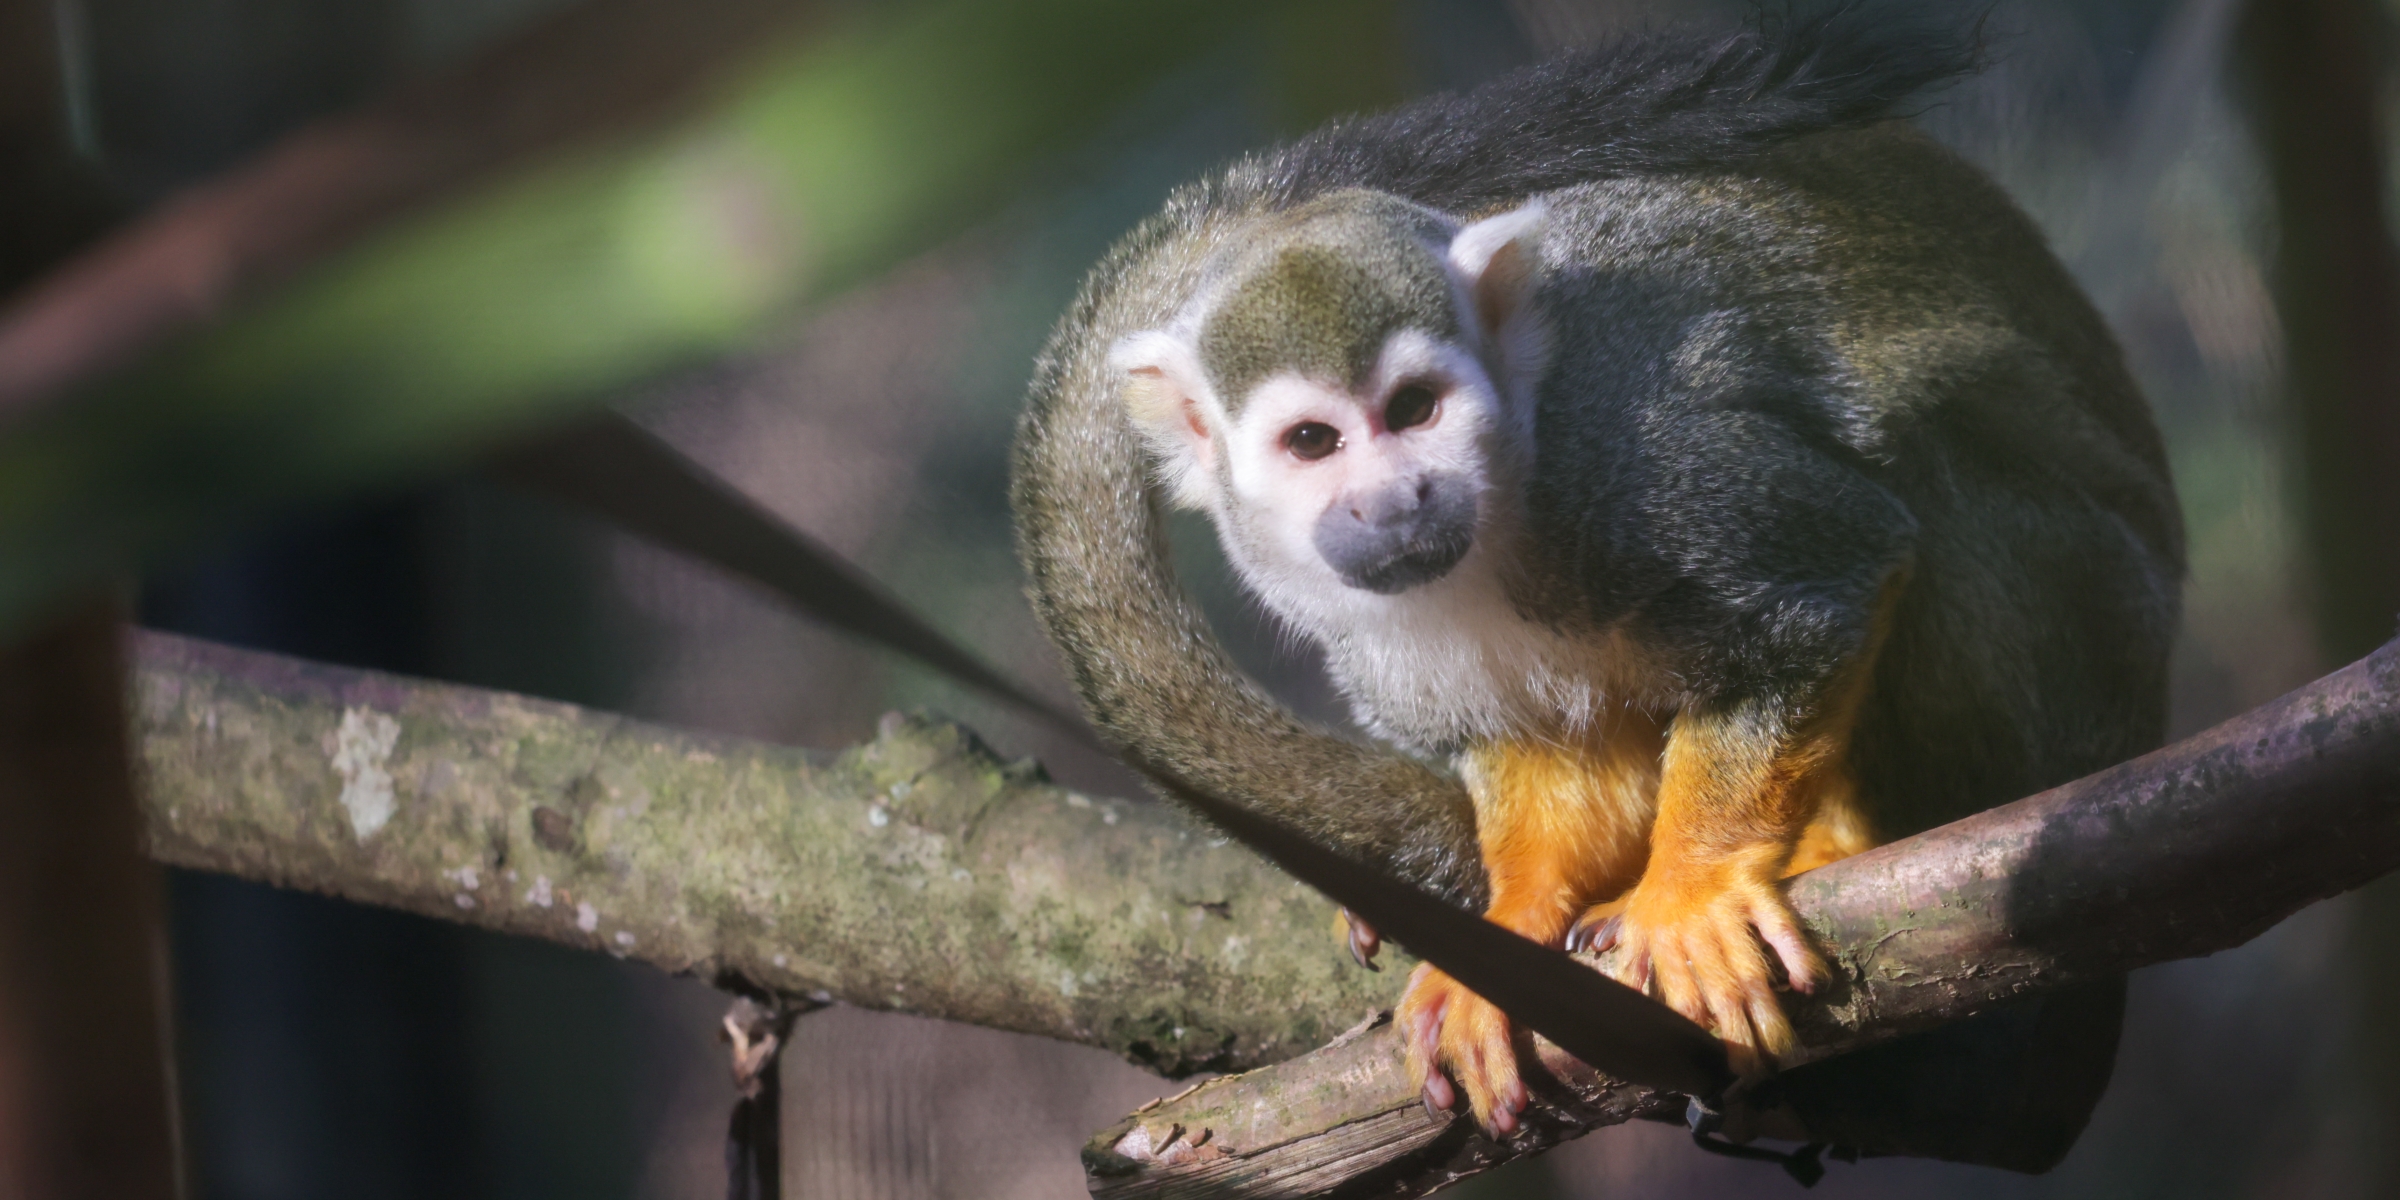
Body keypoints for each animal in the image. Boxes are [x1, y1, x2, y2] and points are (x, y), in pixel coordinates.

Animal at [1011, 13, 2183, 1142]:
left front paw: (1695, 891)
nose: (1395, 500)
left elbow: (1824, 584)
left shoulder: (1639, 464)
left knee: (1922, 479)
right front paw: (1512, 933)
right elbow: (1538, 751)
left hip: (2088, 632)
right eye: (1313, 443)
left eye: (1414, 410)